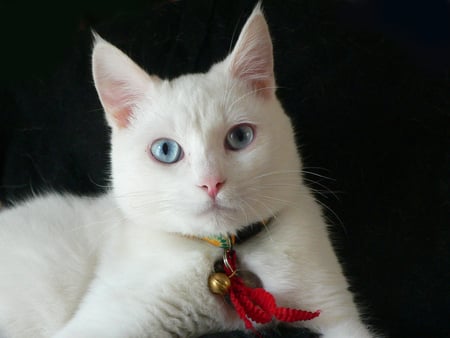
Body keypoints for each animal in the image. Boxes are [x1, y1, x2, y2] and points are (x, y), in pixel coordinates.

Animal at [0, 4, 376, 338]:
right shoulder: (98, 323)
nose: (211, 182)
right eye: (166, 151)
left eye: (240, 137)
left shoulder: (339, 314)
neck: (226, 255)